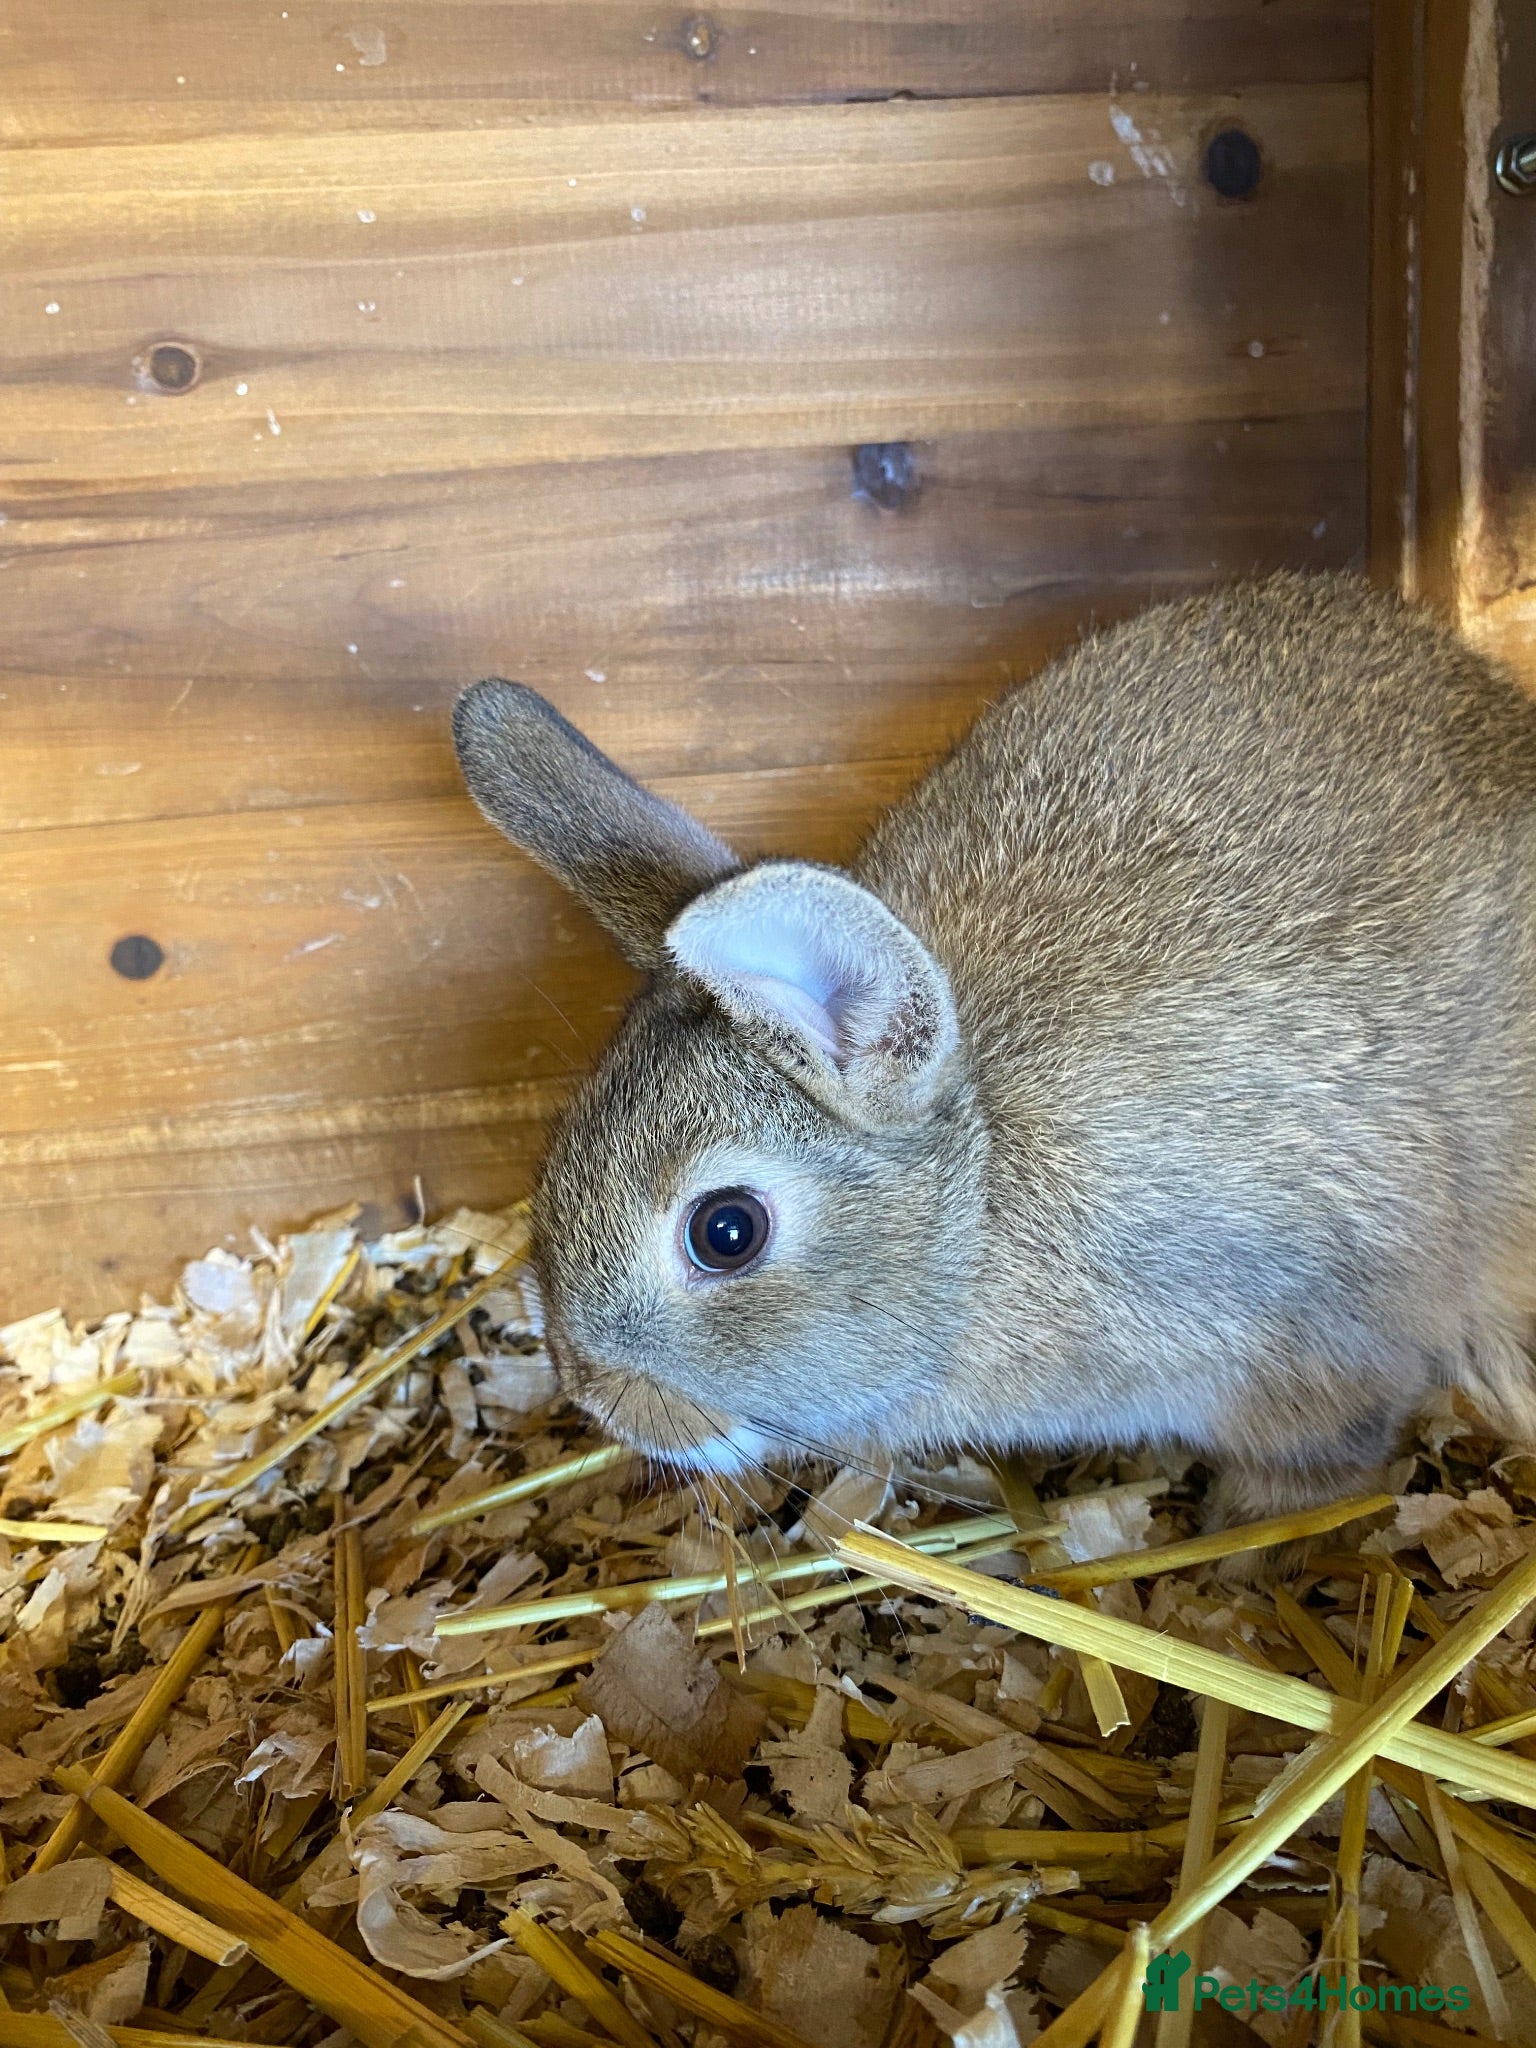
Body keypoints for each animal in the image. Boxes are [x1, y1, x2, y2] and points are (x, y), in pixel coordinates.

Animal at [451, 573, 1536, 1547]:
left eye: (726, 1231)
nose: (597, 1397)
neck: (975, 1200)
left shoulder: (1313, 1335)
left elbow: (1325, 1460)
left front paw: (1242, 1538)